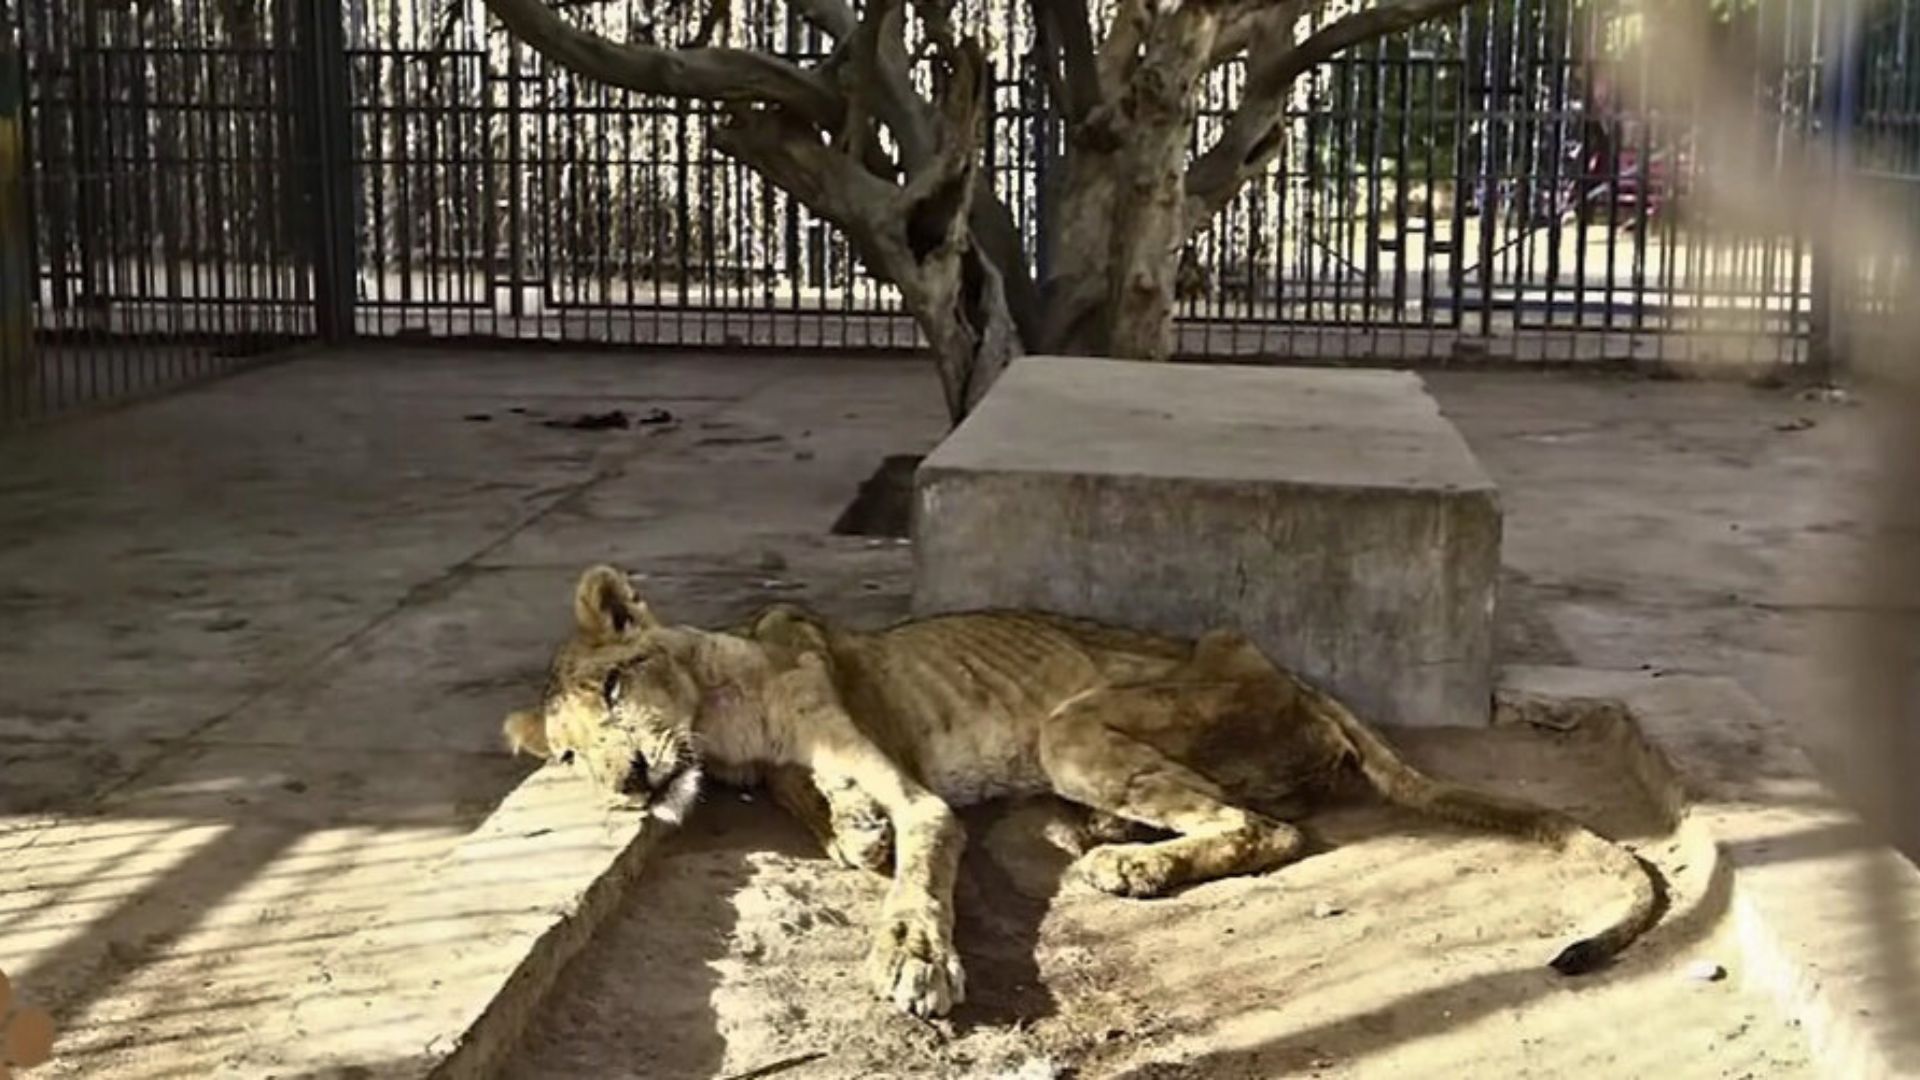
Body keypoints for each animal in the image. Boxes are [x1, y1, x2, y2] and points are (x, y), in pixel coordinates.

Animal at [503, 568, 1658, 1014]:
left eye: (613, 689)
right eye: (564, 756)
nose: (625, 779)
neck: (727, 717)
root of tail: (1297, 677)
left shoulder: (909, 778)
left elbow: (915, 866)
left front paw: (914, 958)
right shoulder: (783, 770)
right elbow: (822, 815)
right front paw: (852, 831)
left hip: (1078, 724)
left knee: (1268, 828)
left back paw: (1131, 866)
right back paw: (1101, 836)